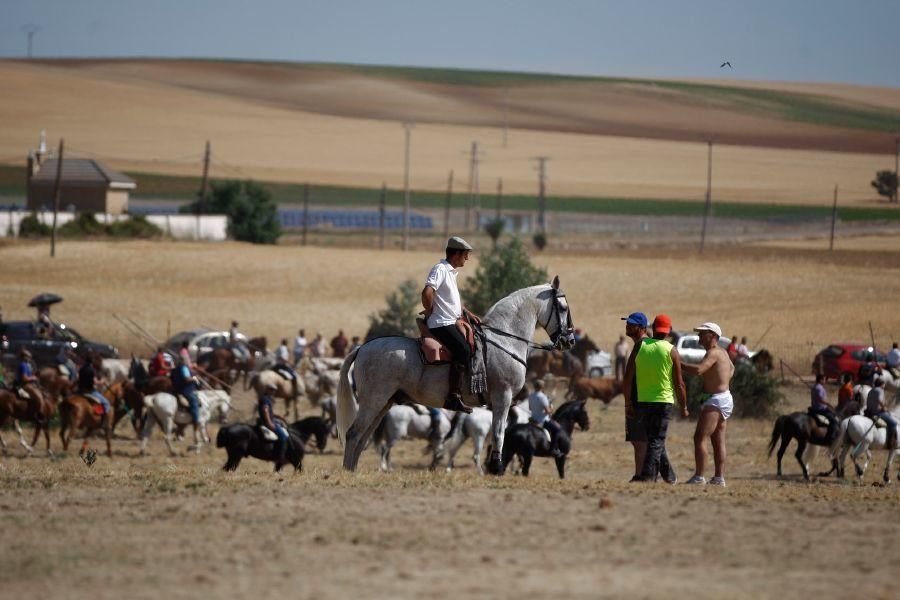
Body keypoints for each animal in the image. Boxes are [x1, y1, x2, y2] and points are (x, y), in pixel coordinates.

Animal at [338, 274, 576, 476]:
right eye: (563, 308)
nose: (570, 340)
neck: (504, 341)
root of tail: (362, 348)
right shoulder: (503, 396)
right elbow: (499, 432)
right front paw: (497, 468)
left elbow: (497, 433)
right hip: (373, 400)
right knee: (353, 434)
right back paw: (348, 472)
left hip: (384, 402)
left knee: (364, 437)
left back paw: (353, 471)